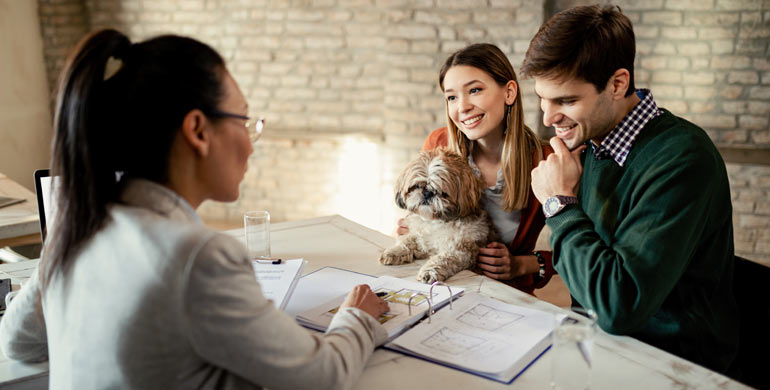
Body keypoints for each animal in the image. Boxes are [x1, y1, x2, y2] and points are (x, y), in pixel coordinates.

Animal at [380, 147, 498, 284]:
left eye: (443, 193)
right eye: (416, 186)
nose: (427, 193)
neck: (436, 221)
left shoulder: (461, 250)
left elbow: (443, 259)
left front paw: (429, 272)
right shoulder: (423, 237)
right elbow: (409, 240)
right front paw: (395, 252)